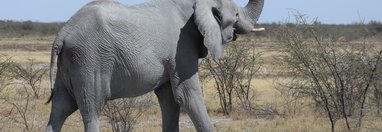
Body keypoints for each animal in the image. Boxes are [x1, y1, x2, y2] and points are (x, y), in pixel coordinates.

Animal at [46, 0, 264, 131]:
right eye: (237, 14)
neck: (195, 4)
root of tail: (63, 32)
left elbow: (170, 101)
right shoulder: (181, 46)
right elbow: (187, 96)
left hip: (71, 63)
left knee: (59, 109)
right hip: (89, 60)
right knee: (91, 110)